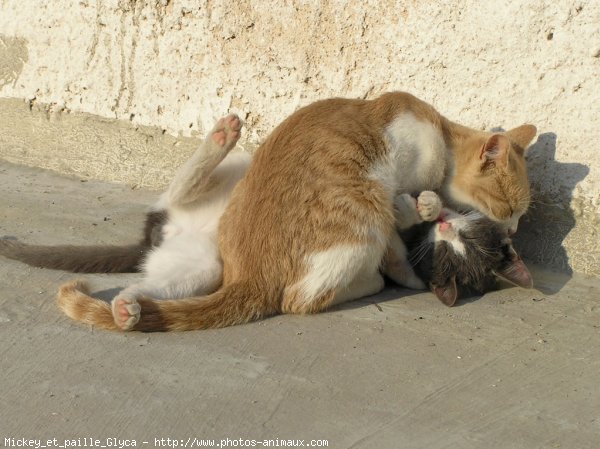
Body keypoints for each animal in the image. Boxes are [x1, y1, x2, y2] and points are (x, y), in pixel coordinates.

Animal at [56, 91, 536, 328]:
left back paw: (126, 308)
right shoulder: (391, 185)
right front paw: (424, 207)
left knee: (151, 282)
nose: (515, 231)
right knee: (299, 299)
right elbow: (404, 216)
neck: (439, 129)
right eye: (509, 206)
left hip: (202, 262)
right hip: (356, 221)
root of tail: (248, 276)